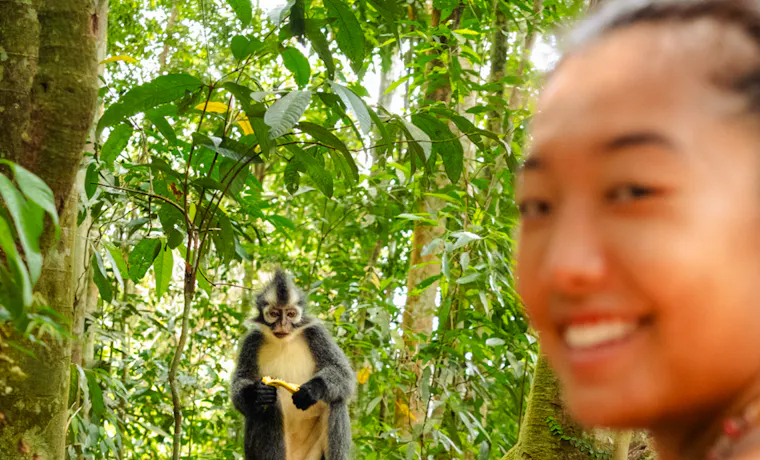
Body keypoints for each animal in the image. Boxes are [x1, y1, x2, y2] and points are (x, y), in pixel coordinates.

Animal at [231, 270, 355, 460]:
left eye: (290, 314)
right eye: (274, 314)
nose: (283, 324)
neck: (284, 341)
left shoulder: (316, 333)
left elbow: (343, 374)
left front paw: (312, 389)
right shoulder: (251, 342)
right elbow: (240, 389)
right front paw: (254, 393)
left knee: (335, 400)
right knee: (270, 405)